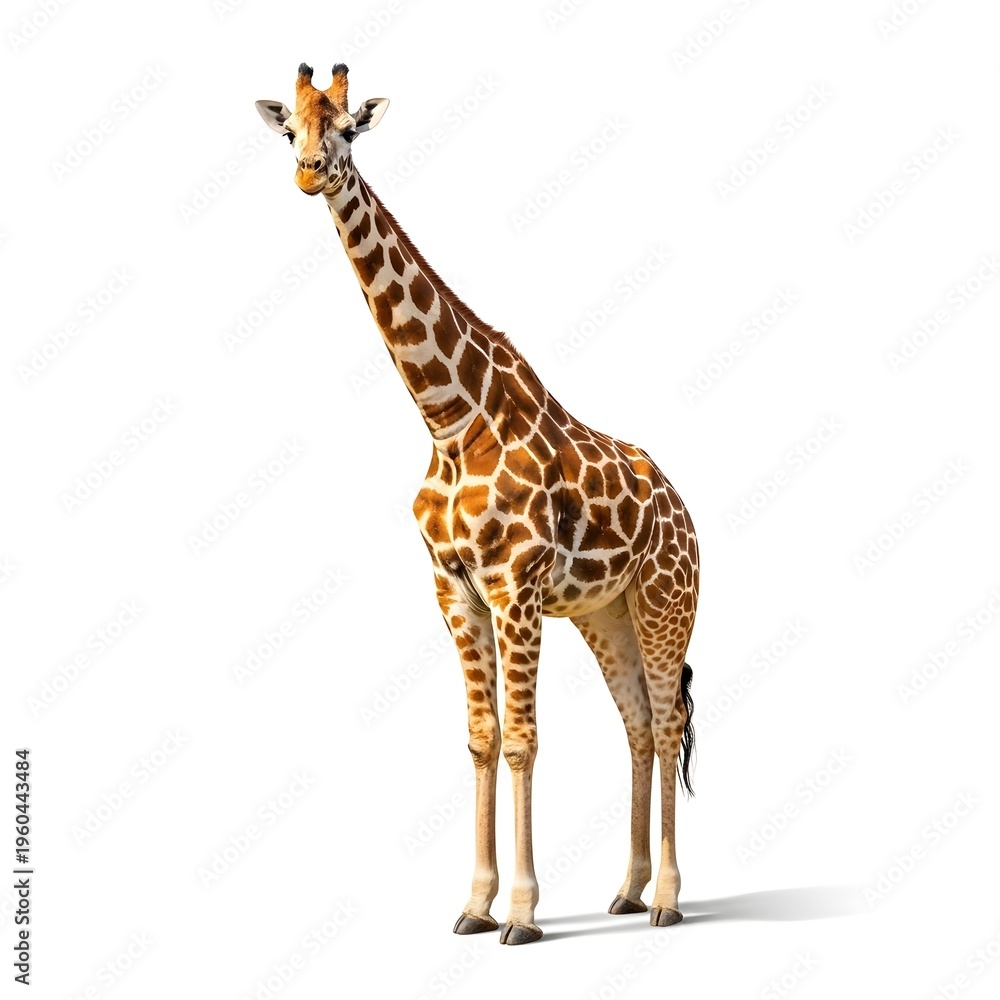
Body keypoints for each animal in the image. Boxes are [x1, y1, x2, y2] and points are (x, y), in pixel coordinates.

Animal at [256, 63, 699, 945]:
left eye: (348, 130)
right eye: (291, 129)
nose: (309, 173)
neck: (450, 419)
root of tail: (688, 514)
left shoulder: (515, 586)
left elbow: (524, 739)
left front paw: (522, 914)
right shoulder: (454, 588)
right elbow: (481, 738)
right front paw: (474, 903)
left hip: (668, 601)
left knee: (669, 724)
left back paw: (669, 898)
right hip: (607, 612)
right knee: (637, 723)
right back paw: (629, 890)